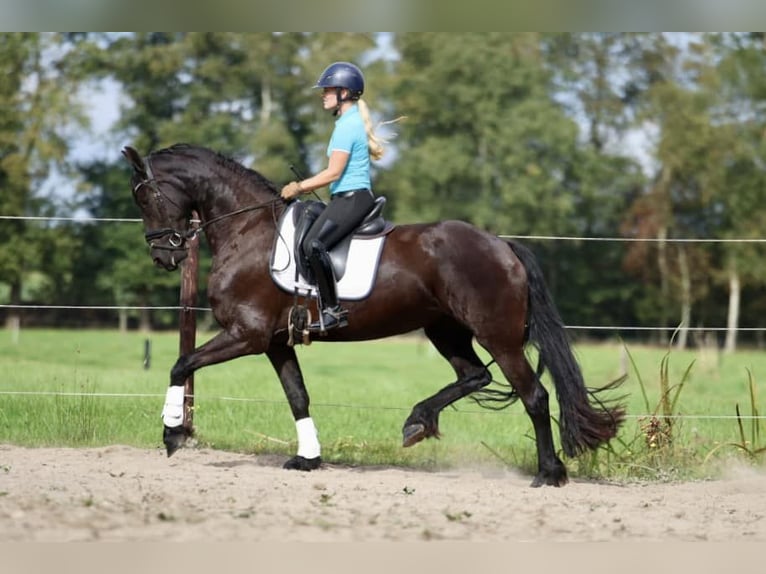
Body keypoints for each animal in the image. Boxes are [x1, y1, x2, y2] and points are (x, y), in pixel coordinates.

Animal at [121, 143, 624, 486]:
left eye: (144, 198)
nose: (163, 257)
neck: (249, 230)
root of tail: (501, 245)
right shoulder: (277, 342)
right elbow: (298, 396)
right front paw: (308, 458)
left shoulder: (247, 334)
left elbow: (181, 363)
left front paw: (172, 434)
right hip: (444, 329)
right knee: (474, 376)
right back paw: (418, 421)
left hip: (497, 336)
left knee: (534, 395)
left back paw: (549, 473)